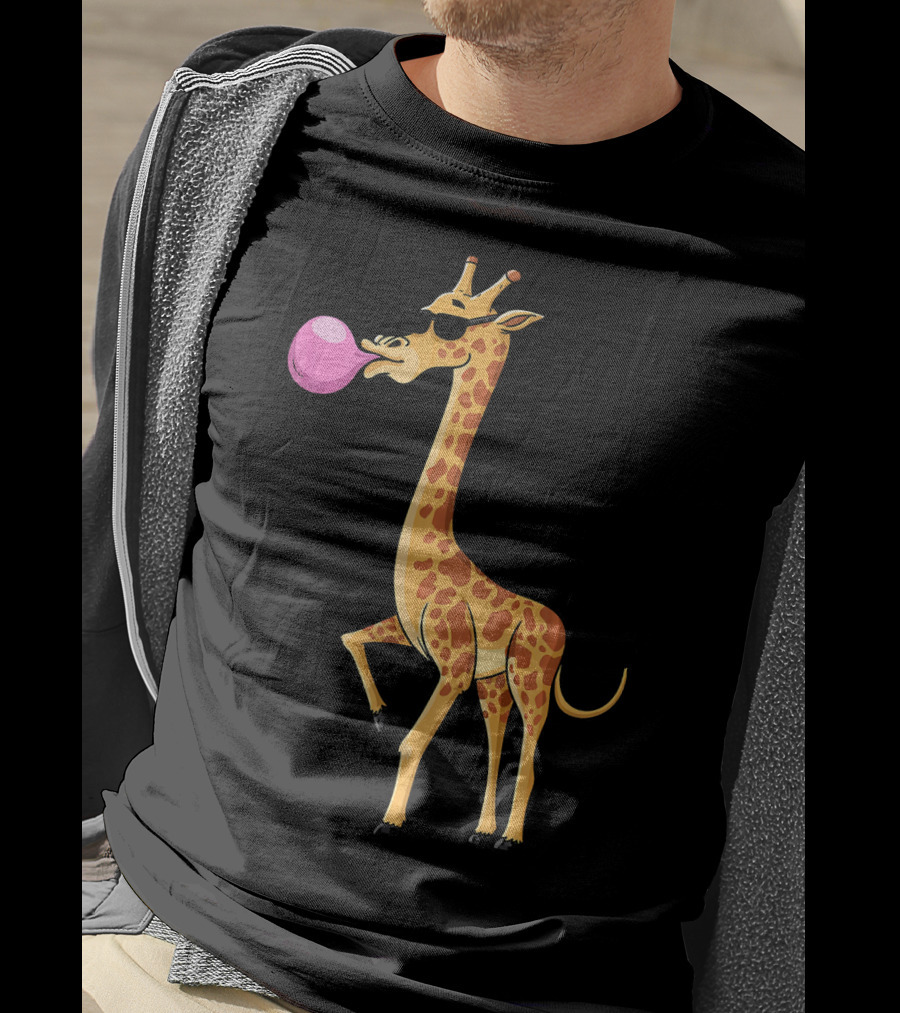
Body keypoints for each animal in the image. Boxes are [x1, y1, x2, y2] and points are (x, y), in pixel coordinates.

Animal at [341, 256, 627, 848]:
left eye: (448, 324)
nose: (383, 344)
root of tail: (558, 624)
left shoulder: (452, 666)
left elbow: (413, 740)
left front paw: (390, 820)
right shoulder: (416, 637)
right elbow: (351, 637)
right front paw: (378, 710)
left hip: (530, 677)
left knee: (530, 752)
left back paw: (510, 837)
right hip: (495, 681)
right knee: (497, 741)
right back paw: (482, 829)